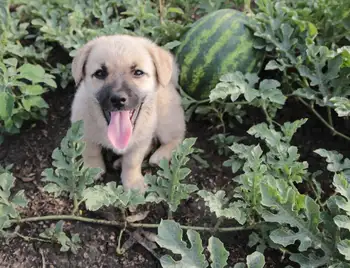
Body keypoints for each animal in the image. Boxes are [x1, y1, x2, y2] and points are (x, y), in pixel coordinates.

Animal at [69, 34, 187, 192]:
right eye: (100, 73)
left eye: (138, 72)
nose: (118, 99)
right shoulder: (85, 133)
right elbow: (91, 152)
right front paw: (92, 170)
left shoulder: (141, 141)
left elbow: (132, 161)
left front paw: (132, 182)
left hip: (166, 123)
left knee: (177, 138)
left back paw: (159, 156)